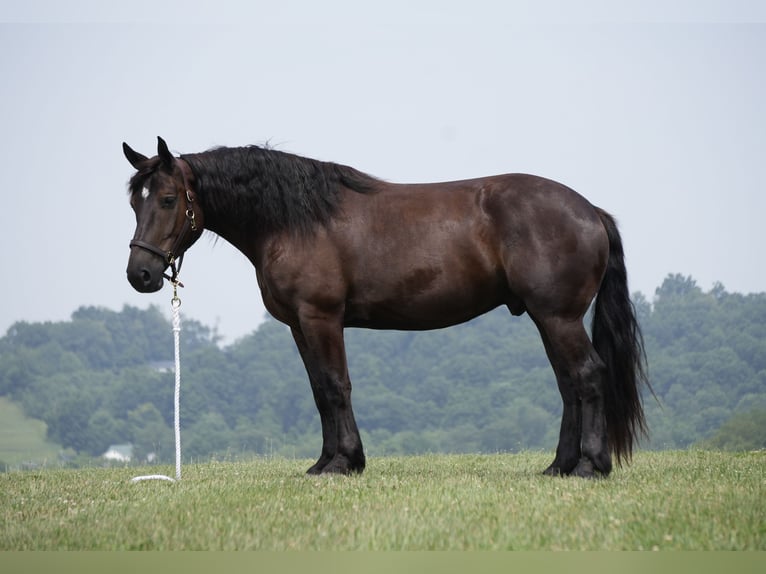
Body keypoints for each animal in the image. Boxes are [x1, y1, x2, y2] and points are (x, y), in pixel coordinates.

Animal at [123, 136, 649, 478]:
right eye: (134, 202)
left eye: (167, 199)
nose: (140, 275)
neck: (296, 221)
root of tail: (590, 212)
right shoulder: (298, 325)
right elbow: (319, 391)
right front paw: (324, 461)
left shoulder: (321, 318)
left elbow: (336, 386)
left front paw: (343, 463)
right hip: (549, 319)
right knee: (569, 385)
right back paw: (559, 465)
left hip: (558, 317)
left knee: (587, 377)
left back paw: (589, 466)